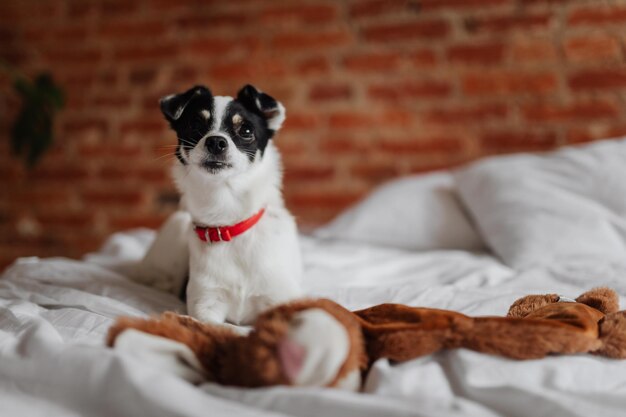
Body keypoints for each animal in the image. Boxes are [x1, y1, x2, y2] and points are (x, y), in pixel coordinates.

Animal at [133, 84, 304, 324]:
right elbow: (217, 327)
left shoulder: (280, 300)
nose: (215, 141)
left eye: (246, 131)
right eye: (195, 125)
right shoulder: (205, 305)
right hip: (176, 225)